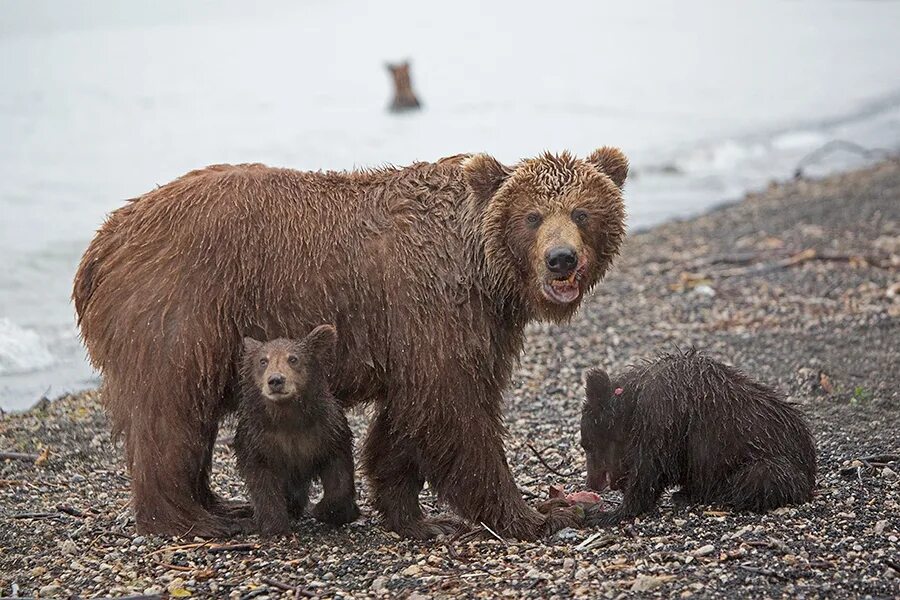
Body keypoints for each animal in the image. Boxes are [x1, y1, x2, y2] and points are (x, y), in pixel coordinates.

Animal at [232, 326, 358, 536]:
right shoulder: (259, 441)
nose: (276, 380)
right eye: (263, 361)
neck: (287, 417)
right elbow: (263, 483)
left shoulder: (326, 433)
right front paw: (275, 526)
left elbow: (339, 472)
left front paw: (326, 510)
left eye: (293, 358)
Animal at [580, 346, 820, 524]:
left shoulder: (663, 417)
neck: (631, 407)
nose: (591, 483)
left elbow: (650, 470)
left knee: (759, 477)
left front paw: (611, 513)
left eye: (588, 444)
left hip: (776, 460)